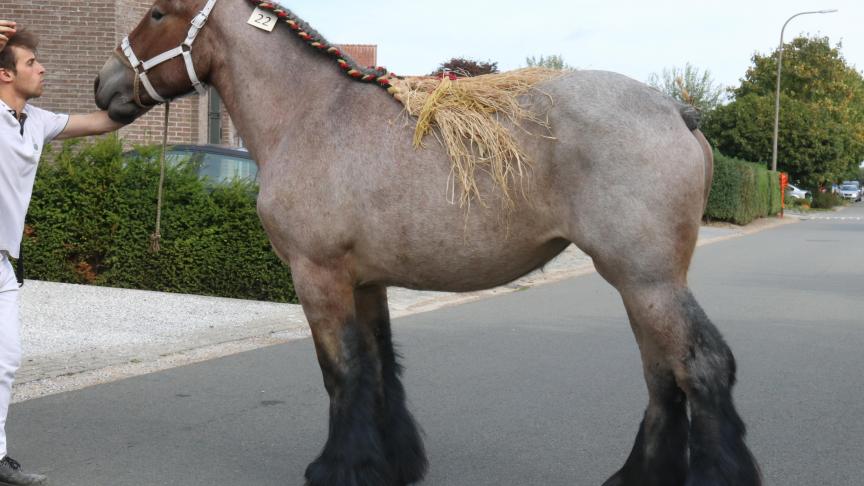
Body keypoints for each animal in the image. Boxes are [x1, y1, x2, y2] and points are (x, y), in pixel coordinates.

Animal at [94, 1, 764, 484]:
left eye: (157, 13)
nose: (104, 86)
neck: (311, 113)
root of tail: (676, 109)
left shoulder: (318, 276)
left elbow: (341, 372)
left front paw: (338, 468)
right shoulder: (366, 281)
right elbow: (378, 367)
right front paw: (389, 463)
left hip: (647, 281)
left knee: (699, 367)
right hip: (641, 285)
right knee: (663, 375)